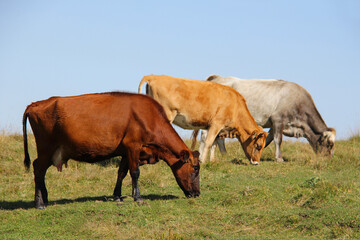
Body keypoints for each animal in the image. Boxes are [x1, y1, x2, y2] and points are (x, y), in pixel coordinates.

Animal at [22, 92, 201, 208]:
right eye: (195, 168)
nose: (197, 193)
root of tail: (35, 104)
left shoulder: (125, 151)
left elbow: (121, 173)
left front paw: (117, 196)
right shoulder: (133, 146)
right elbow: (135, 173)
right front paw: (137, 197)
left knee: (41, 171)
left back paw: (45, 199)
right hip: (45, 147)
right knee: (38, 168)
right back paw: (39, 203)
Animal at [138, 74, 268, 165]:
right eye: (258, 146)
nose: (256, 162)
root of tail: (154, 76)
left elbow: (213, 143)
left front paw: (211, 160)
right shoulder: (216, 124)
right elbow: (208, 142)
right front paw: (203, 161)